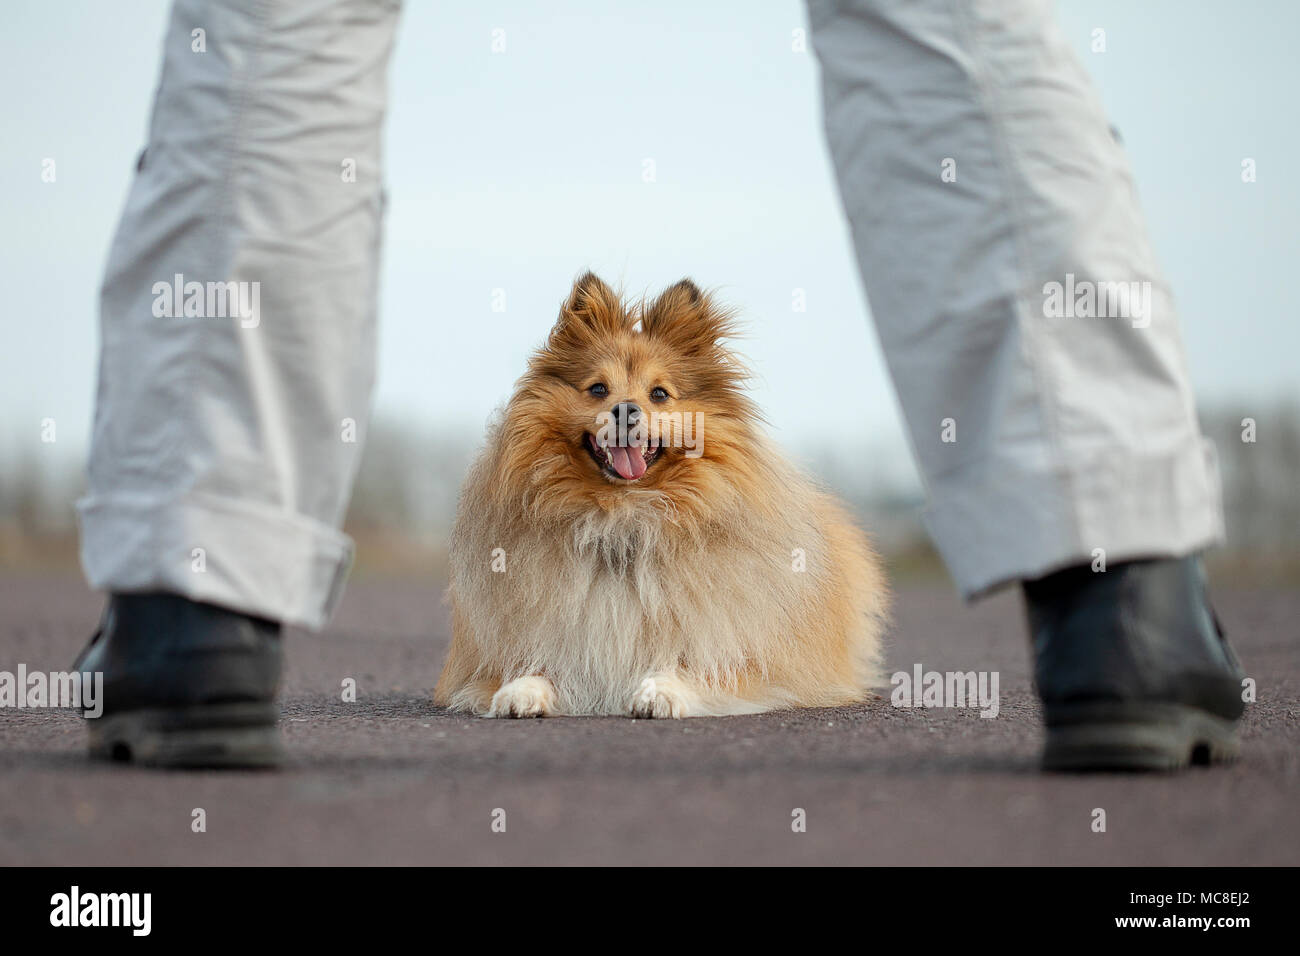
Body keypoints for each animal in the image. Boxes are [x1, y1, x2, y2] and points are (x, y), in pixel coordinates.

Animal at [431, 270, 889, 717]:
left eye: (659, 394)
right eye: (598, 389)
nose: (625, 410)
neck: (622, 519)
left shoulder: (748, 659)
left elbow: (692, 668)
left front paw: (660, 692)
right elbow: (534, 666)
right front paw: (519, 691)